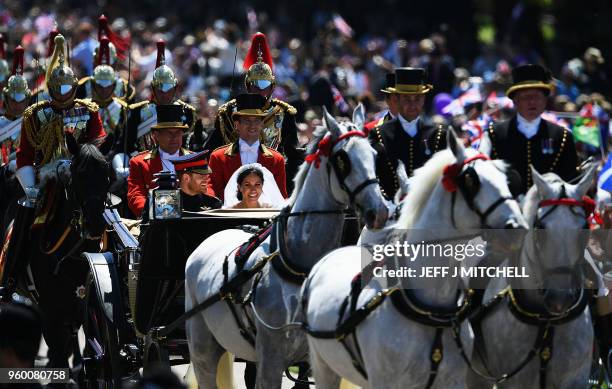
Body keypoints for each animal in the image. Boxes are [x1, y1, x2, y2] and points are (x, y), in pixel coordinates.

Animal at [184, 104, 390, 386]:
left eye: (373, 155)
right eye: (342, 159)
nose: (379, 212)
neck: (300, 267)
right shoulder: (271, 357)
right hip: (202, 346)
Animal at [302, 130, 524, 388]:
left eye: (504, 179)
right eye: (471, 181)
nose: (517, 227)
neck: (431, 310)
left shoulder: (455, 380)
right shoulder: (384, 381)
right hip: (322, 365)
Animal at [466, 164, 596, 388]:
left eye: (585, 228)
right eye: (540, 227)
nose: (559, 298)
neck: (545, 321)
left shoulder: (575, 379)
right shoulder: (513, 381)